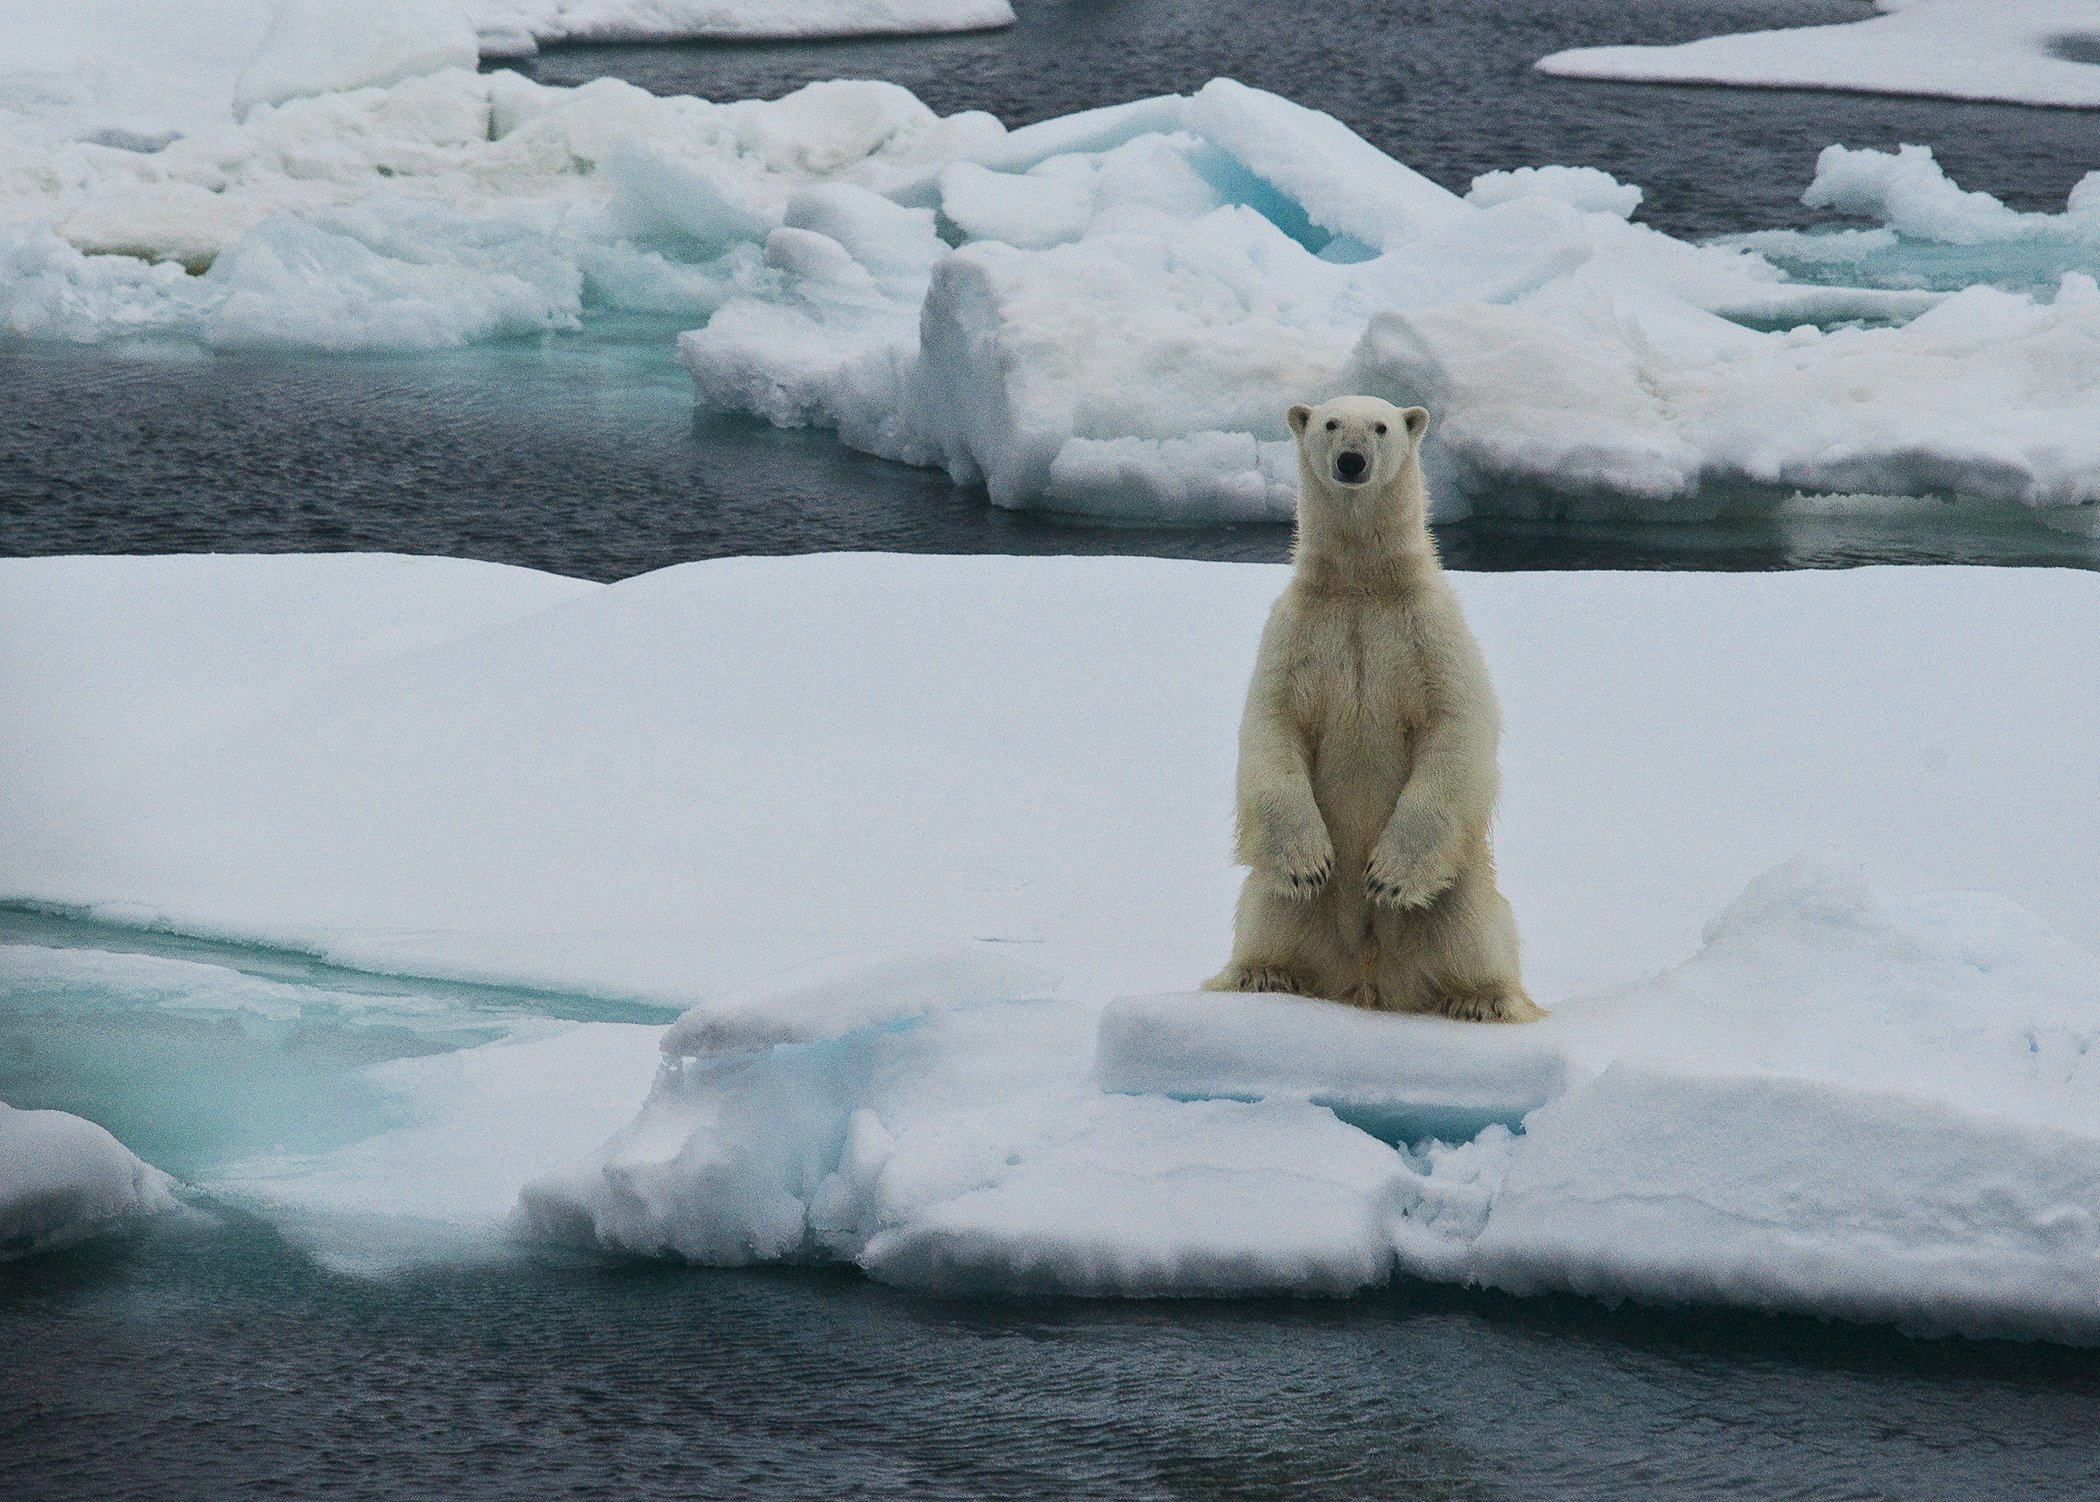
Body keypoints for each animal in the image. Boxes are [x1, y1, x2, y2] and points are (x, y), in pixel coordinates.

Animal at [1203, 395, 1541, 1023]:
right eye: (1331, 423)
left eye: (1381, 427)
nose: (1352, 461)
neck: (1361, 585)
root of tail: (1367, 978)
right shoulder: (1295, 632)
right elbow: (1272, 725)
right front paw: (1309, 864)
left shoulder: (1430, 630)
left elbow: (1454, 726)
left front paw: (1386, 877)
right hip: (1292, 909)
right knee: (1267, 907)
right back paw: (1258, 974)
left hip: (1457, 878)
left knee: (1474, 921)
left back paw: (1482, 999)